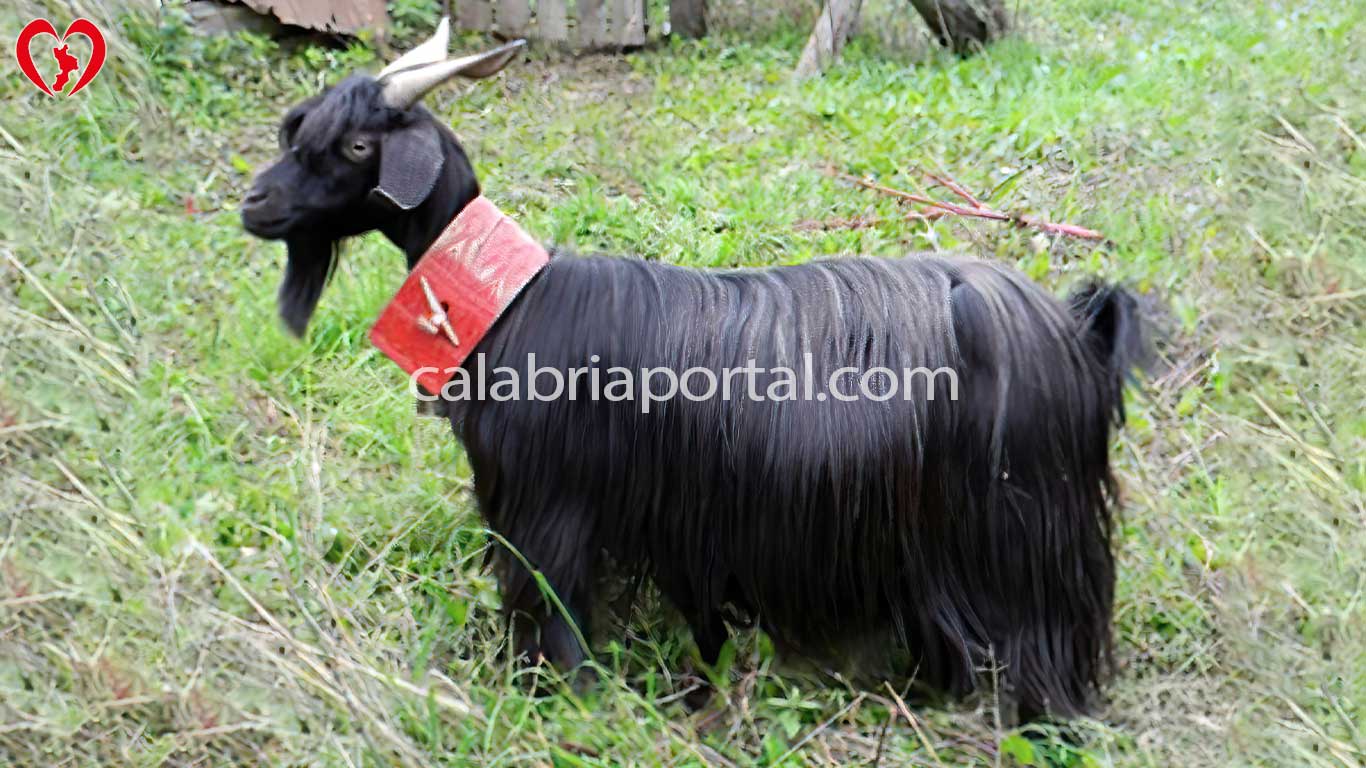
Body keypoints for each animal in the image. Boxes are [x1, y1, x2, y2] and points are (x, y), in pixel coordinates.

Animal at [241, 21, 1144, 720]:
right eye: (296, 130)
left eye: (356, 144)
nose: (254, 204)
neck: (509, 300)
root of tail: (1079, 331)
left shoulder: (545, 510)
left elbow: (556, 618)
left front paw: (564, 701)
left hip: (1020, 532)